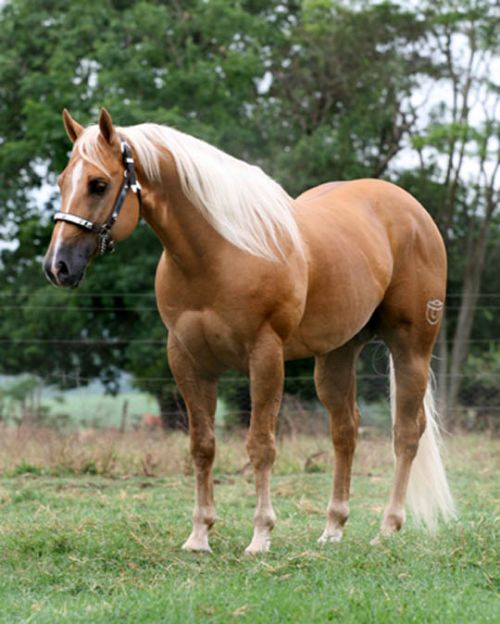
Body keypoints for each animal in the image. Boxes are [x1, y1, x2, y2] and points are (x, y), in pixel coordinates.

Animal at [45, 109, 456, 552]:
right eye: (62, 181)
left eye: (98, 184)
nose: (58, 266)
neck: (218, 254)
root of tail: (411, 211)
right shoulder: (187, 360)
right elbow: (202, 446)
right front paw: (199, 535)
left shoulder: (265, 357)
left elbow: (260, 446)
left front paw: (260, 535)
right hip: (337, 353)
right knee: (345, 430)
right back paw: (332, 528)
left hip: (411, 346)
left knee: (406, 433)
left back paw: (388, 527)